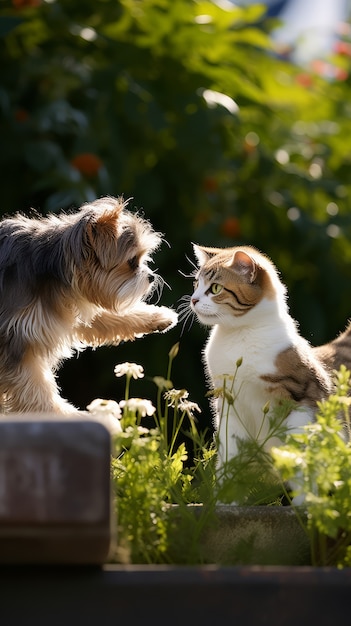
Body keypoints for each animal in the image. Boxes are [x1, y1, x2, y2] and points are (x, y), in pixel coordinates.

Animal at [0, 193, 177, 412]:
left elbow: (110, 316)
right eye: (131, 261)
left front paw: (159, 316)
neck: (53, 269)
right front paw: (69, 416)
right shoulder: (15, 343)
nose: (151, 277)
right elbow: (37, 391)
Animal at [187, 244, 351, 472]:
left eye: (216, 288)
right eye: (196, 284)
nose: (193, 300)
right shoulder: (228, 404)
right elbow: (229, 457)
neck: (239, 333)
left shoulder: (303, 399)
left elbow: (296, 452)